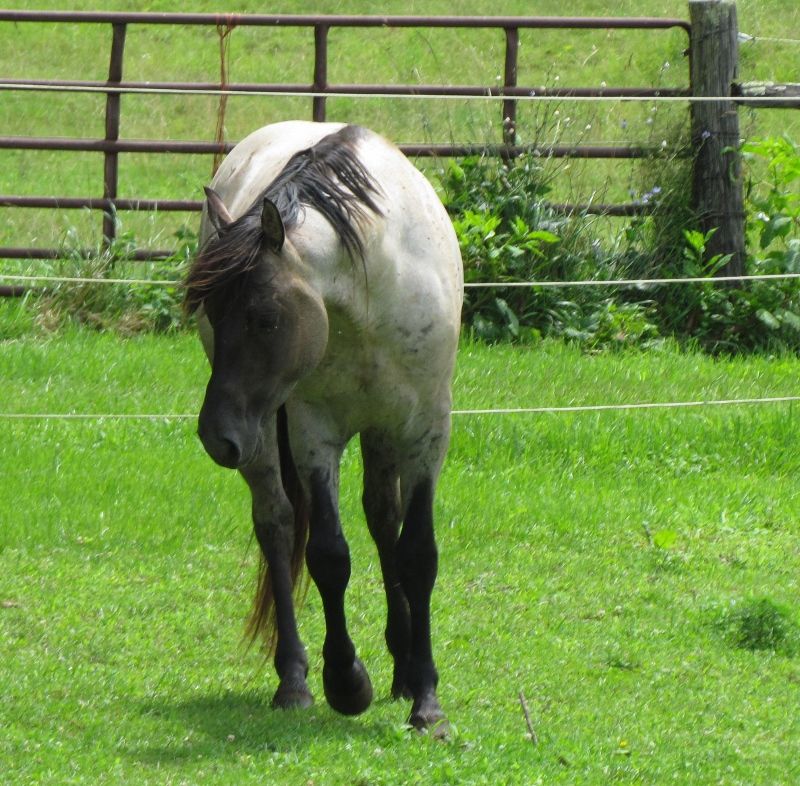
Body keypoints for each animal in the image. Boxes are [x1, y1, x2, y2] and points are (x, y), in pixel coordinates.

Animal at [184, 121, 463, 734]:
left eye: (265, 319)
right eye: (211, 315)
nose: (215, 437)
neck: (369, 292)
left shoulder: (425, 431)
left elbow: (417, 552)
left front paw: (426, 697)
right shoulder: (316, 433)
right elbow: (330, 554)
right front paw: (346, 682)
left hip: (379, 432)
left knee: (383, 520)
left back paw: (402, 663)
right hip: (267, 435)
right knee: (278, 524)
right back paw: (293, 679)